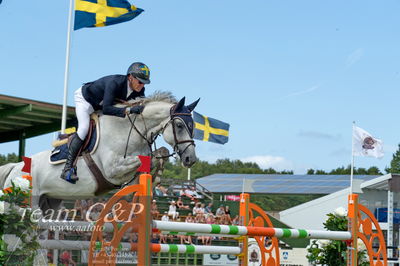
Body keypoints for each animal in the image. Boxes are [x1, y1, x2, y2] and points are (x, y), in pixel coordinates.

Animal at [0, 92, 199, 211]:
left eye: (193, 127)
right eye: (179, 125)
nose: (191, 159)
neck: (129, 130)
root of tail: (15, 167)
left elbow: (159, 153)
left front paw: (154, 177)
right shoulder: (112, 170)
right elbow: (143, 160)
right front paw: (153, 177)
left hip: (49, 202)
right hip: (21, 203)